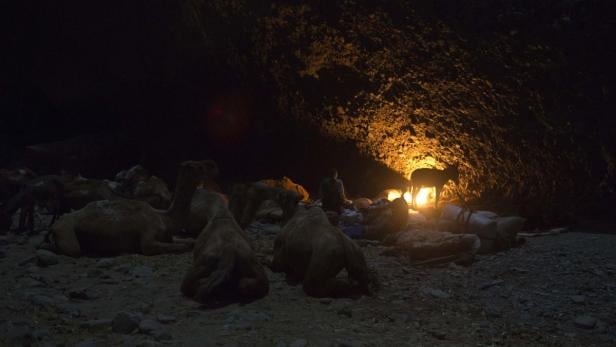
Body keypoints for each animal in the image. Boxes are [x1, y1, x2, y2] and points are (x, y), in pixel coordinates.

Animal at [50, 161, 217, 258]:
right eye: (199, 168)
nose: (211, 168)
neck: (165, 218)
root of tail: (55, 225)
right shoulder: (148, 237)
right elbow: (174, 246)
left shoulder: (168, 235)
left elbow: (189, 241)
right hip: (67, 231)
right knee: (74, 250)